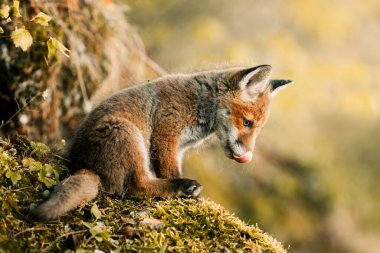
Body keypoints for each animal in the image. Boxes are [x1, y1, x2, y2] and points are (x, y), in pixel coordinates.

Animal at [30, 65, 290, 221]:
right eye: (247, 123)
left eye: (258, 128)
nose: (247, 156)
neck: (200, 103)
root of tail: (80, 165)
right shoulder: (166, 136)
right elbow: (169, 171)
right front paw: (189, 195)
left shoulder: (179, 148)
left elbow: (170, 170)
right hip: (128, 135)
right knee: (135, 187)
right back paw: (182, 187)